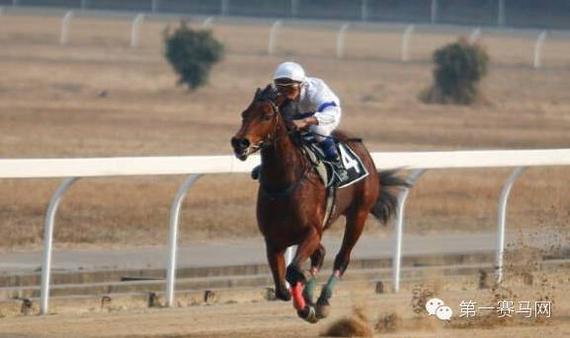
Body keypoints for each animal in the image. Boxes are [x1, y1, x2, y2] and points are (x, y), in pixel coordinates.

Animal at [229, 84, 406, 322]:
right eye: (244, 114)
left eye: (266, 115)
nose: (239, 143)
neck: (284, 183)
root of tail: (358, 144)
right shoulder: (274, 240)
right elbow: (282, 288)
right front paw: (303, 300)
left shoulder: (311, 231)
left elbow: (293, 272)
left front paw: (307, 307)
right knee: (320, 254)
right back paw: (311, 296)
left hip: (358, 215)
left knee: (342, 258)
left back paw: (322, 301)